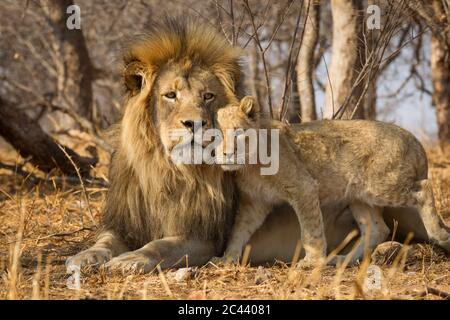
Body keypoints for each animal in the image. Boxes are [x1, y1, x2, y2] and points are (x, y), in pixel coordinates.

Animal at [214, 95, 450, 264]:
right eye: (216, 135)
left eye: (238, 133)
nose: (226, 154)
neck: (250, 166)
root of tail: (415, 140)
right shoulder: (254, 203)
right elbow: (238, 232)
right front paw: (226, 259)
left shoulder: (303, 187)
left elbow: (310, 229)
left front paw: (312, 261)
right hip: (359, 196)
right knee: (377, 229)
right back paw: (343, 260)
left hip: (381, 184)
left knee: (424, 188)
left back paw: (439, 234)